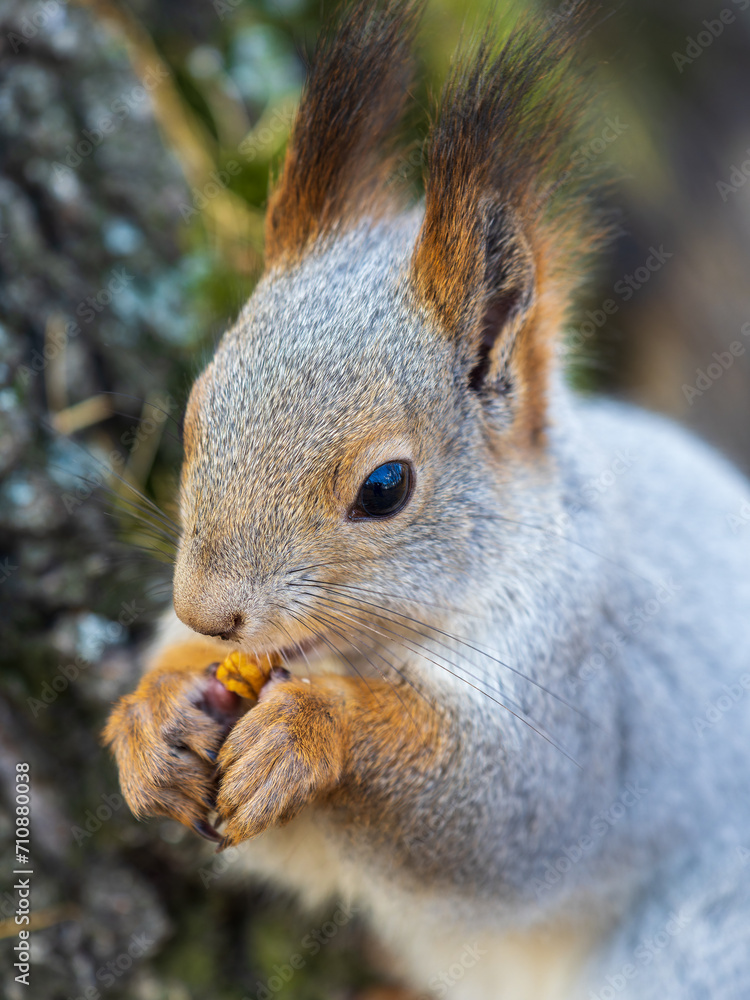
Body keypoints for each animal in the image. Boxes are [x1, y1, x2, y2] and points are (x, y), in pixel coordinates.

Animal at [103, 2, 750, 998]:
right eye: (196, 410)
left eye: (385, 487)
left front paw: (315, 730)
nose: (206, 614)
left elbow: (503, 823)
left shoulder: (586, 707)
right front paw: (151, 715)